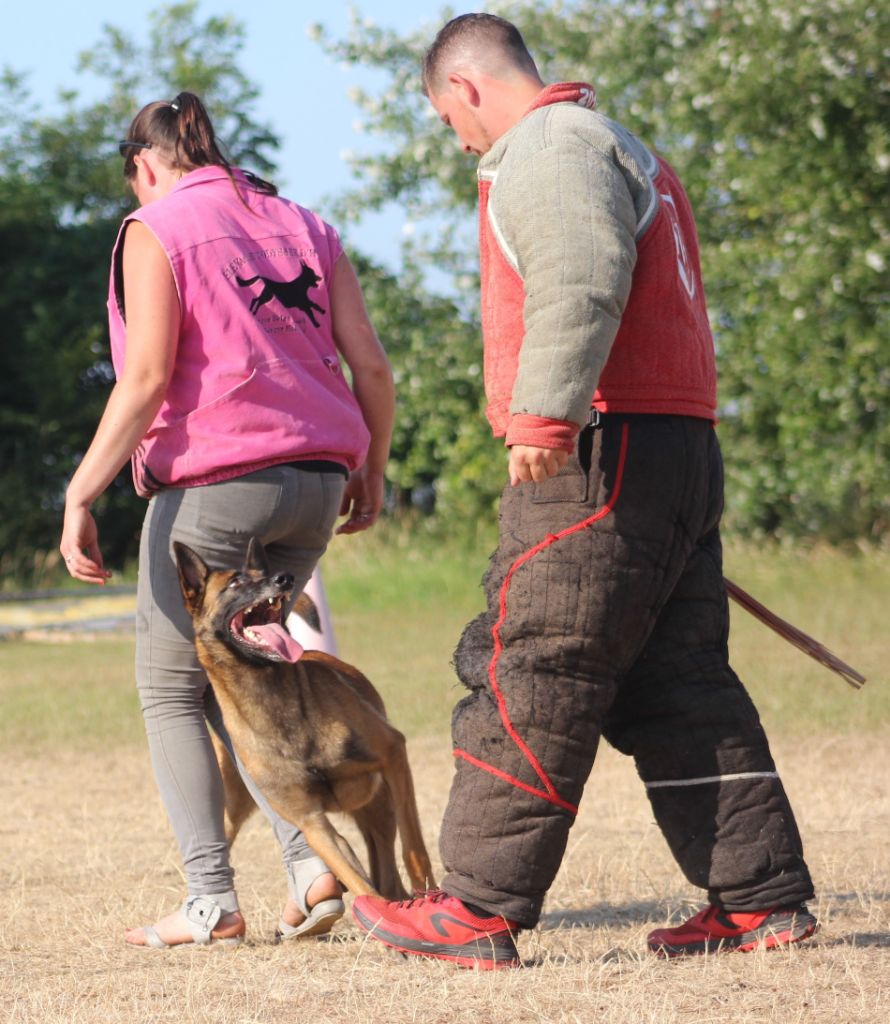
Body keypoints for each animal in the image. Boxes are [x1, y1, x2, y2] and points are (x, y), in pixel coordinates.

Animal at [172, 540, 436, 901]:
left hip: (380, 810)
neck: (272, 702)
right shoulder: (313, 825)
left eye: (263, 574)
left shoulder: (393, 753)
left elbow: (414, 849)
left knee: (388, 869)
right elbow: (362, 887)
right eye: (235, 583)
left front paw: (430, 896)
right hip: (229, 814)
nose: (284, 578)